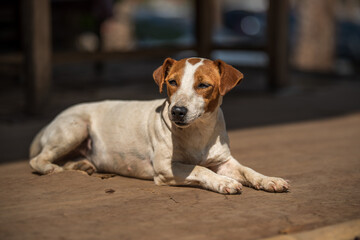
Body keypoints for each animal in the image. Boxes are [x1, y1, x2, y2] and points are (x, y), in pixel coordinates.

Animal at [30, 57, 290, 194]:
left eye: (203, 85)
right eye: (172, 82)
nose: (177, 111)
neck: (198, 132)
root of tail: (53, 120)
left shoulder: (224, 161)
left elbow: (248, 170)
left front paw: (268, 179)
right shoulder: (166, 168)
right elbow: (200, 169)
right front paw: (224, 182)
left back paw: (81, 165)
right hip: (75, 128)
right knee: (38, 161)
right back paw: (55, 169)